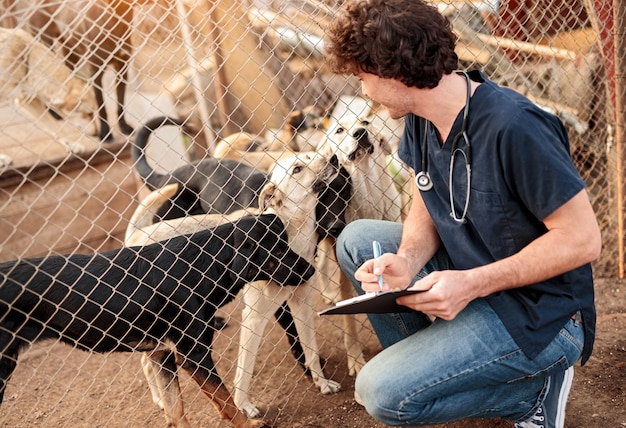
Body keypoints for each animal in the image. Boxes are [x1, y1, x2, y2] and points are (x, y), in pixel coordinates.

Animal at [0, 216, 312, 426]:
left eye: (287, 244)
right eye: (278, 251)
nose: (311, 268)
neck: (201, 264)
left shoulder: (162, 354)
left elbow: (176, 411)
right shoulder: (193, 354)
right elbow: (226, 401)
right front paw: (249, 423)